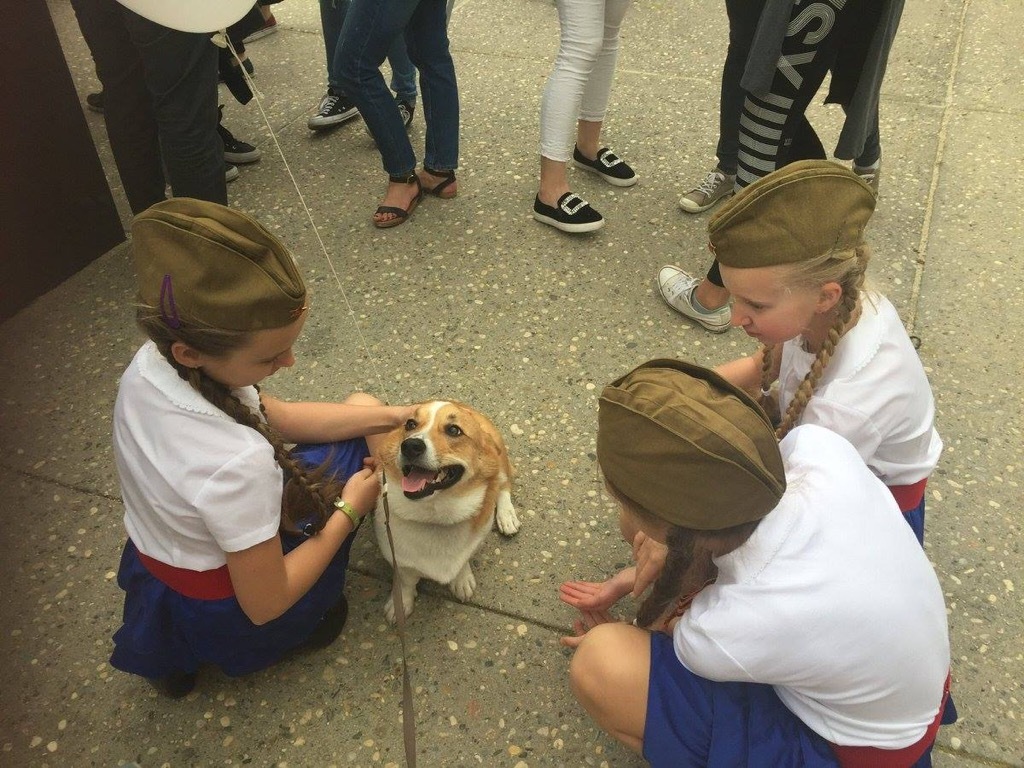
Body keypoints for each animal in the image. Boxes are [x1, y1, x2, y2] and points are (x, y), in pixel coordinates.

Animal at [372, 399, 520, 622]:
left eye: (453, 430)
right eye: (410, 424)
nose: (411, 446)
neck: (435, 516)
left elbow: (463, 561)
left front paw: (461, 580)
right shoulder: (399, 560)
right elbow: (406, 582)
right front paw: (401, 603)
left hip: (499, 459)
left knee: (502, 484)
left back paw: (507, 516)